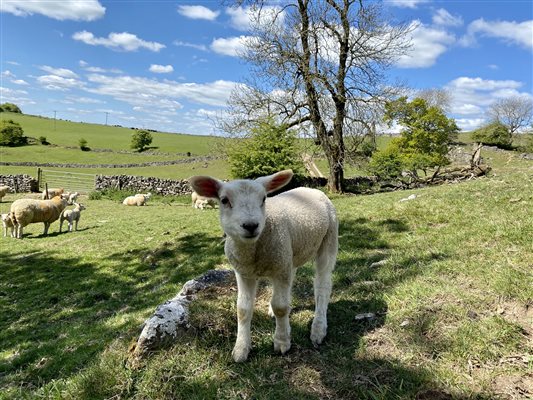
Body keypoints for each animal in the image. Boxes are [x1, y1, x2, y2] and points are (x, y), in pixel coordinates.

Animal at [188, 169, 336, 362]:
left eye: (264, 198)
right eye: (224, 200)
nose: (250, 225)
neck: (253, 251)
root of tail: (311, 189)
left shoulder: (280, 269)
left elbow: (280, 307)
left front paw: (281, 341)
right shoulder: (245, 272)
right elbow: (242, 309)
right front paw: (241, 349)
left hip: (328, 240)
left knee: (322, 286)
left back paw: (318, 328)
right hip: (289, 254)